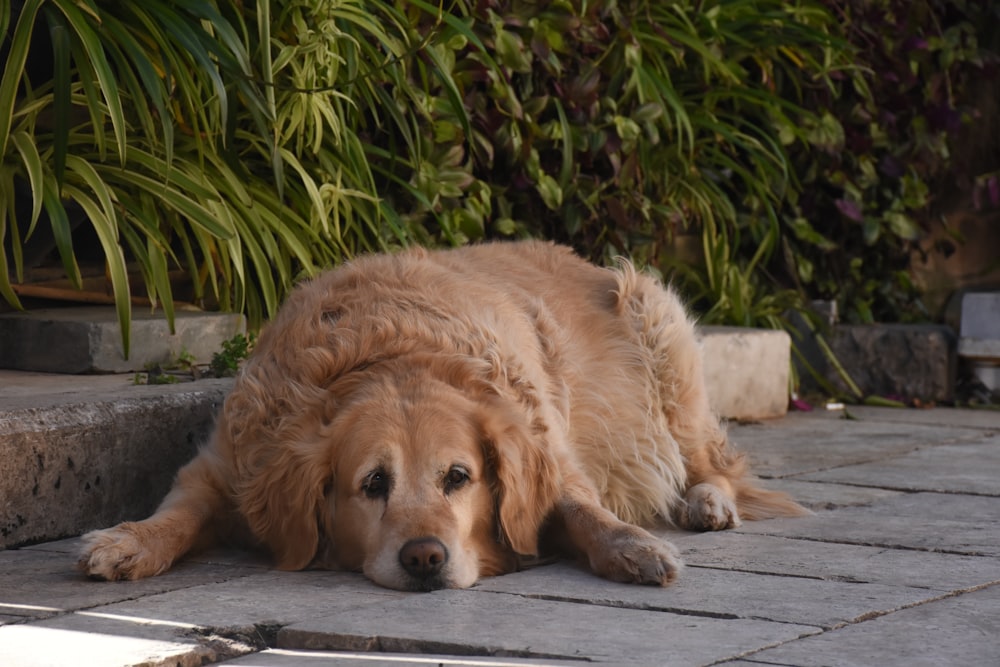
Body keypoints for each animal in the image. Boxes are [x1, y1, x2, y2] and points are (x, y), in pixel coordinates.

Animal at [76, 240, 804, 588]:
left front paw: (633, 547)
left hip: (661, 329)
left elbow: (583, 510)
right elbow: (178, 514)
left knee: (710, 460)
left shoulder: (548, 453)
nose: (425, 557)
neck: (390, 355)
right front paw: (128, 541)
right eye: (373, 483)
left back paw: (706, 503)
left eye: (459, 477)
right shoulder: (226, 467)